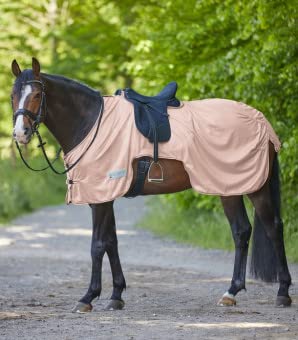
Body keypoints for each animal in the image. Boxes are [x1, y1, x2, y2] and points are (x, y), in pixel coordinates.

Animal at [10, 56, 292, 314]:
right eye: (13, 95)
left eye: (37, 94)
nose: (20, 134)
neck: (90, 124)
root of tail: (262, 122)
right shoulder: (104, 197)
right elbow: (112, 242)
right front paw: (116, 295)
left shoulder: (102, 197)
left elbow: (97, 245)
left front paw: (88, 297)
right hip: (229, 187)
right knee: (241, 231)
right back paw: (231, 292)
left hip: (254, 188)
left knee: (273, 227)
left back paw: (282, 293)